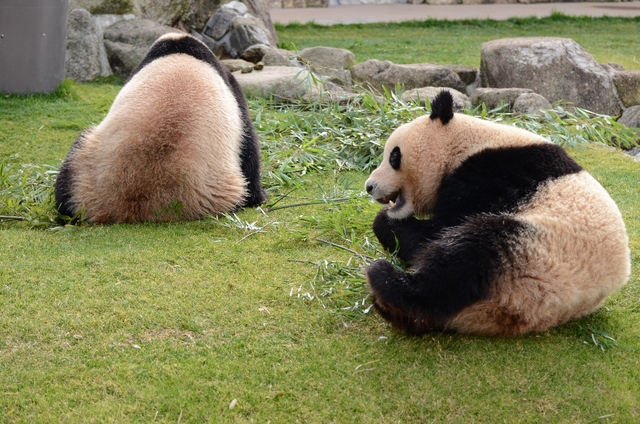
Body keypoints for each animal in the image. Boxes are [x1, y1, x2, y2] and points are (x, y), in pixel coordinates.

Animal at [53, 32, 264, 225]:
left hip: (83, 170)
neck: (178, 48)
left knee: (65, 193)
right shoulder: (232, 89)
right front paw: (260, 196)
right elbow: (248, 148)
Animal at [364, 91, 632, 336]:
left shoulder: (494, 175)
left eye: (394, 156)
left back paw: (388, 283)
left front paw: (387, 223)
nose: (369, 186)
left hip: (539, 254)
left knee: (466, 256)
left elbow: (440, 228)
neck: (463, 143)